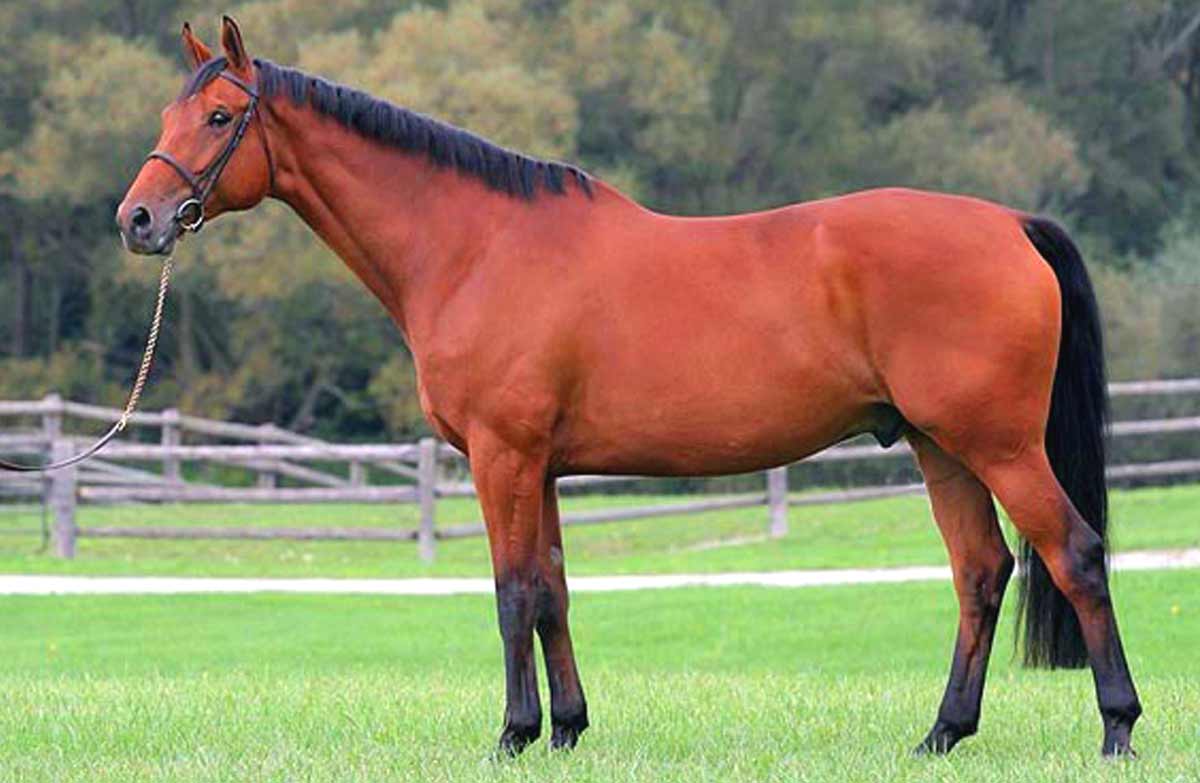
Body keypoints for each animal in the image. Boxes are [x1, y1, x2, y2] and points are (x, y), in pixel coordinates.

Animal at [116, 16, 1141, 757]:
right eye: (165, 117)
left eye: (219, 119)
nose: (139, 219)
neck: (477, 246)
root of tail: (1008, 223)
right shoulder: (543, 467)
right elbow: (555, 592)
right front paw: (567, 729)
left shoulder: (502, 457)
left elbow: (511, 592)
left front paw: (513, 735)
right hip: (940, 447)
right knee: (981, 570)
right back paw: (941, 734)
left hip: (999, 445)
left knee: (1074, 555)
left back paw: (1117, 727)